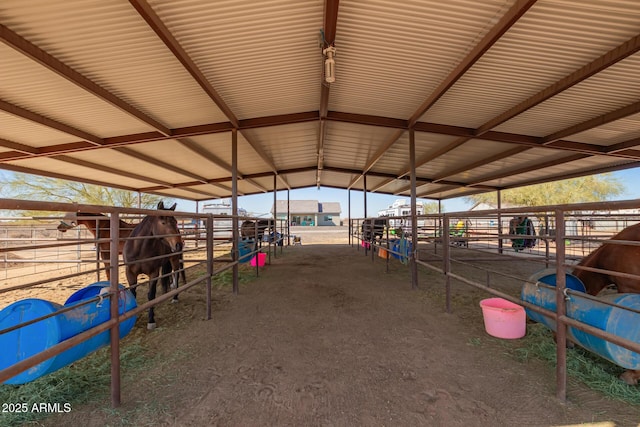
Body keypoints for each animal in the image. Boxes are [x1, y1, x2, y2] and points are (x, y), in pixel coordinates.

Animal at [123, 202, 184, 330]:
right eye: (163, 222)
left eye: (176, 222)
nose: (179, 245)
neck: (140, 250)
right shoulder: (130, 273)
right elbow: (133, 293)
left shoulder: (153, 273)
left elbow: (151, 295)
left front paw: (151, 321)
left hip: (174, 259)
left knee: (176, 275)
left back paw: (175, 297)